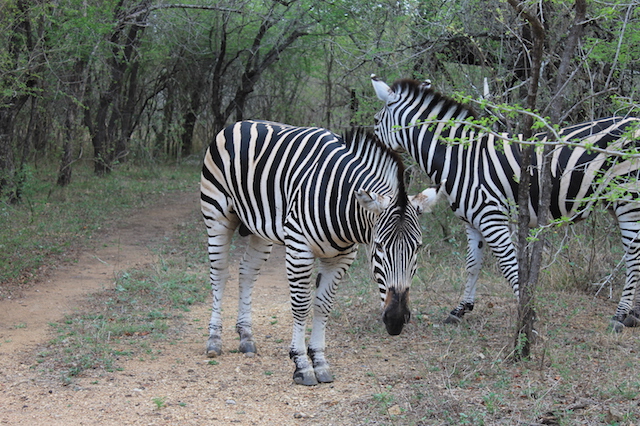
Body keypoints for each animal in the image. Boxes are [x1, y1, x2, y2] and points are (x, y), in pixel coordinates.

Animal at [201, 120, 440, 386]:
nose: (396, 320)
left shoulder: (341, 258)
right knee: (220, 274)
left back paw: (246, 337)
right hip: (217, 215)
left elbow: (323, 305)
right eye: (379, 247)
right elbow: (301, 305)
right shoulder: (299, 249)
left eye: (417, 248)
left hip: (260, 229)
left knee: (247, 272)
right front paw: (302, 365)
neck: (344, 205)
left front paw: (320, 361)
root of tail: (241, 123)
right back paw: (214, 340)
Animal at [368, 75, 640, 332]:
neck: (461, 159)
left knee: (633, 257)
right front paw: (461, 309)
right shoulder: (472, 221)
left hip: (628, 199)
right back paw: (633, 314)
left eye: (376, 120)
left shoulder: (492, 219)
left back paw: (620, 315)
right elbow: (472, 264)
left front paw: (526, 316)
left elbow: (510, 266)